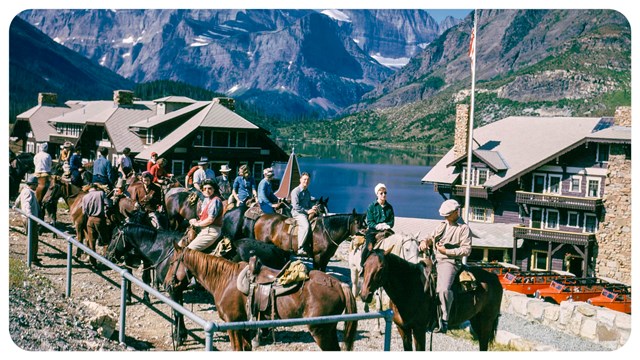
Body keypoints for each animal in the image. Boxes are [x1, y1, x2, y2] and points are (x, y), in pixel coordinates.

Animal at [162, 246, 358, 350]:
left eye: (171, 263)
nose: (166, 284)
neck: (225, 279)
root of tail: (339, 284)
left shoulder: (232, 324)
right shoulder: (242, 326)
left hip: (320, 331)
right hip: (328, 330)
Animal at [360, 249, 504, 350]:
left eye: (381, 267)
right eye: (365, 265)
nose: (364, 294)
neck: (410, 288)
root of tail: (495, 278)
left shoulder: (419, 330)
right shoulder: (403, 329)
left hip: (487, 321)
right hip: (476, 320)